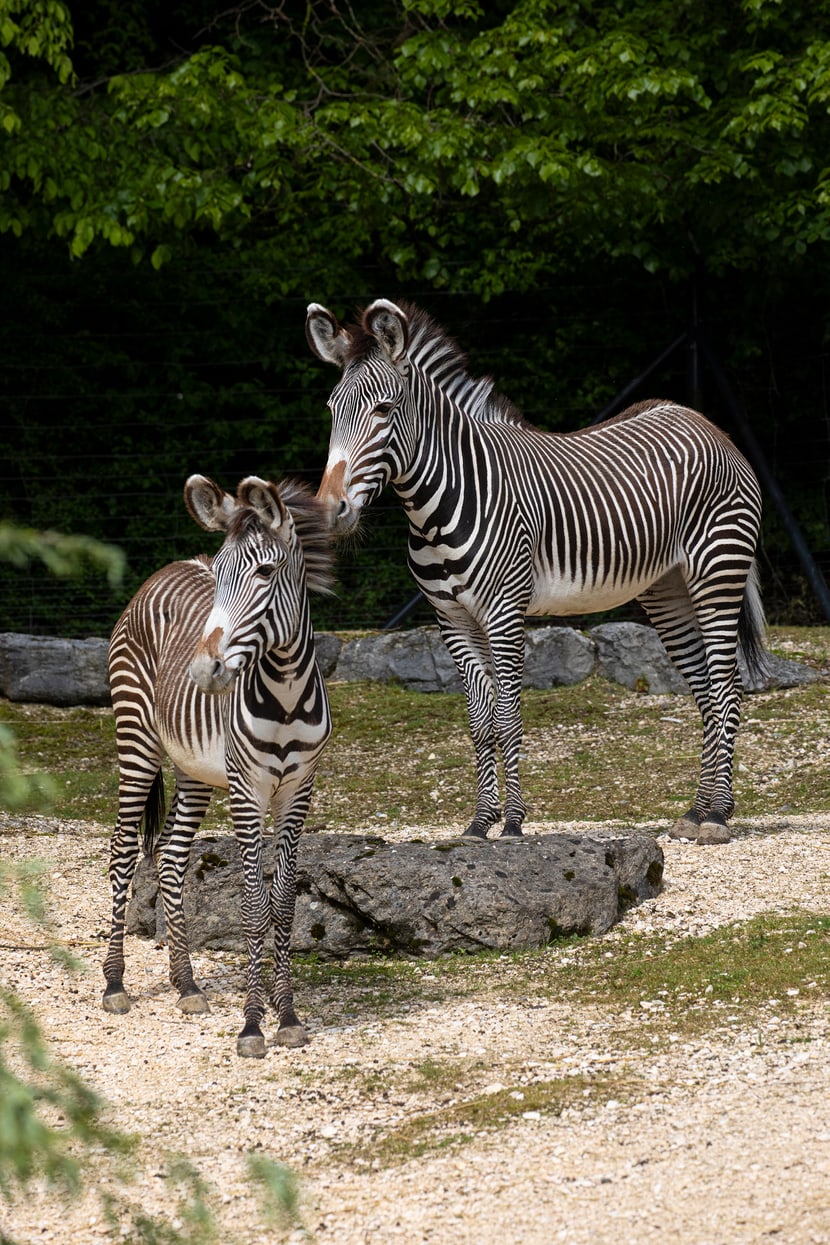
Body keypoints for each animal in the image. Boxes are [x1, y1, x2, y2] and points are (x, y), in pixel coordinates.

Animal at [104, 470, 333, 1055]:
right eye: (222, 574)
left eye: (265, 572)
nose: (203, 672)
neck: (286, 692)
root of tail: (168, 567)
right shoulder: (247, 790)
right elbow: (252, 905)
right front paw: (252, 1024)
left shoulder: (298, 790)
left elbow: (283, 904)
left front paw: (286, 1013)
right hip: (137, 743)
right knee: (122, 852)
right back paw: (113, 983)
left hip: (195, 773)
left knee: (169, 859)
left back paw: (185, 984)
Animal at [307, 297, 766, 851]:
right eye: (331, 410)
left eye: (384, 410)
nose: (331, 511)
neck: (438, 506)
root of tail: (703, 422)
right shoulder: (452, 620)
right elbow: (480, 722)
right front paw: (479, 822)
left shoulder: (504, 612)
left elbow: (507, 717)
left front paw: (512, 823)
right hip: (667, 590)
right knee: (703, 691)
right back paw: (696, 812)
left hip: (717, 574)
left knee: (725, 687)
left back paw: (718, 816)